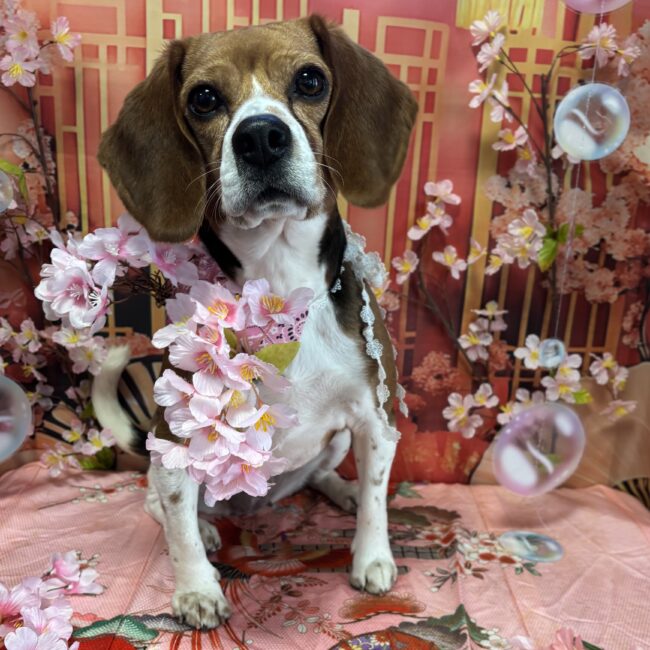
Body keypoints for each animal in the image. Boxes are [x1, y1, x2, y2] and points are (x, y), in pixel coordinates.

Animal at [92, 15, 417, 629]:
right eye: (203, 98)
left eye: (311, 80)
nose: (261, 137)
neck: (282, 292)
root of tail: (255, 502)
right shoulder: (175, 440)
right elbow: (177, 527)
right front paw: (196, 590)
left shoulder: (375, 419)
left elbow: (376, 498)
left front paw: (372, 556)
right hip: (161, 456)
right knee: (162, 506)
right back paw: (206, 530)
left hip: (337, 443)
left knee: (324, 475)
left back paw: (338, 491)